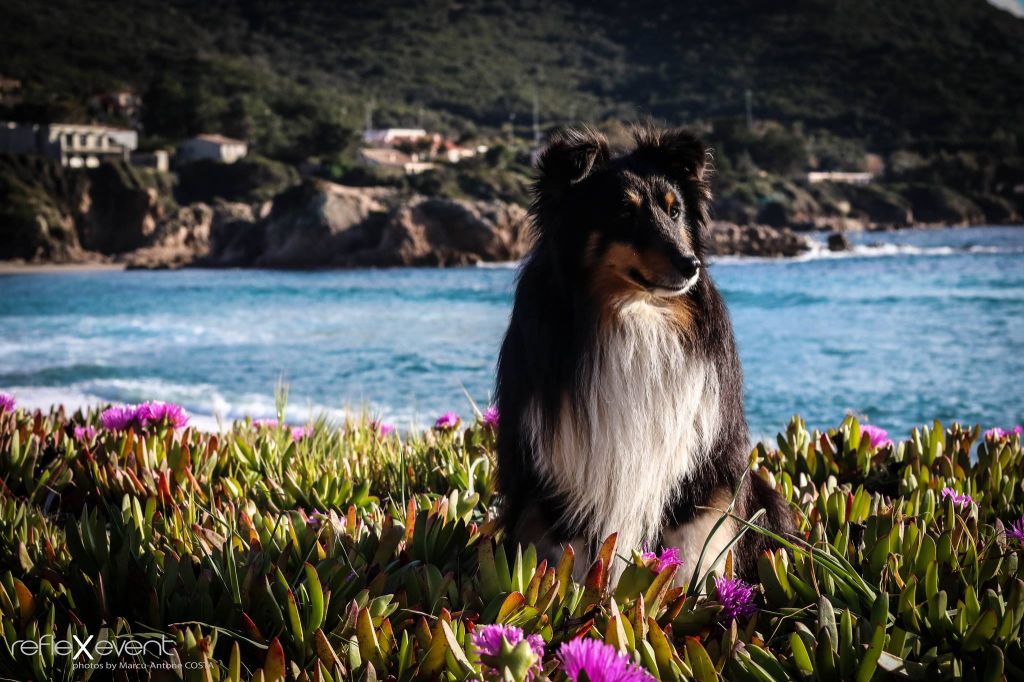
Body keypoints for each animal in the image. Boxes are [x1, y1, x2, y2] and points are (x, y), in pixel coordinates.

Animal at [495, 123, 790, 577]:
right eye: (624, 213)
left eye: (675, 211)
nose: (690, 265)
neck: (635, 316)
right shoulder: (558, 473)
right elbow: (569, 557)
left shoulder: (699, 468)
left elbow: (691, 548)